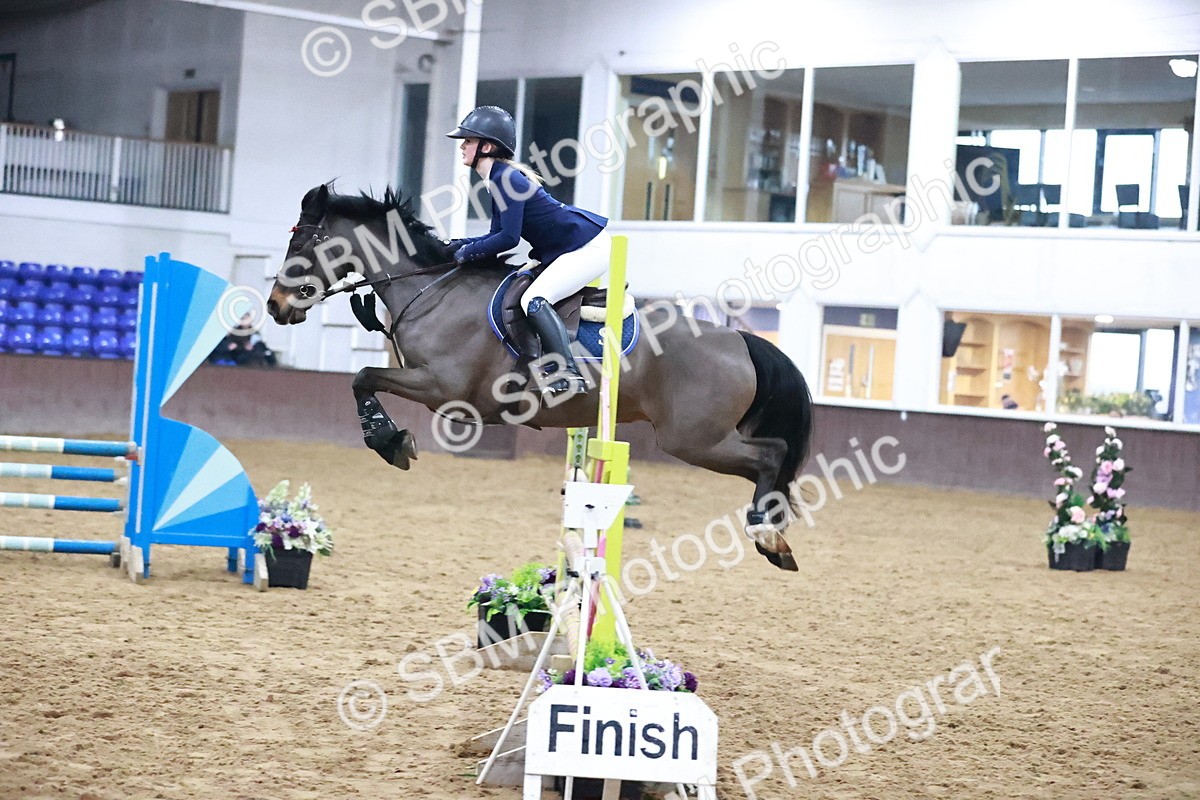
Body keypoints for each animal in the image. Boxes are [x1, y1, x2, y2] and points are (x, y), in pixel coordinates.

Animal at [266, 184, 815, 570]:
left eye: (303, 240)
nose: (275, 307)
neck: (432, 291)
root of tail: (740, 339)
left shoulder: (443, 390)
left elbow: (362, 376)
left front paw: (389, 441)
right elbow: (363, 379)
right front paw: (392, 439)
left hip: (693, 439)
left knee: (772, 454)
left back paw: (769, 536)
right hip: (699, 437)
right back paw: (775, 538)